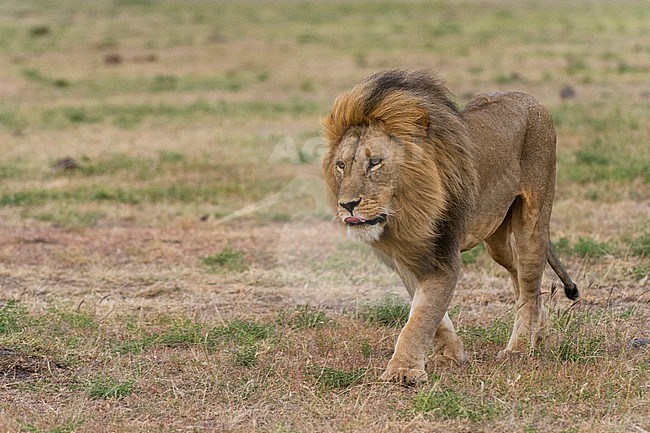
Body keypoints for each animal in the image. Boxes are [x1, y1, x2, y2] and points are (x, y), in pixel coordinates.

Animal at [322, 69, 580, 384]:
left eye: (375, 163)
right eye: (341, 165)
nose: (347, 205)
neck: (402, 217)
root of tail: (531, 99)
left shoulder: (443, 256)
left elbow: (422, 316)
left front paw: (403, 371)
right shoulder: (404, 260)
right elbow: (428, 312)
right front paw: (451, 356)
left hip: (533, 221)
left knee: (530, 284)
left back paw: (518, 349)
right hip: (496, 240)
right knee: (521, 277)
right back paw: (540, 335)